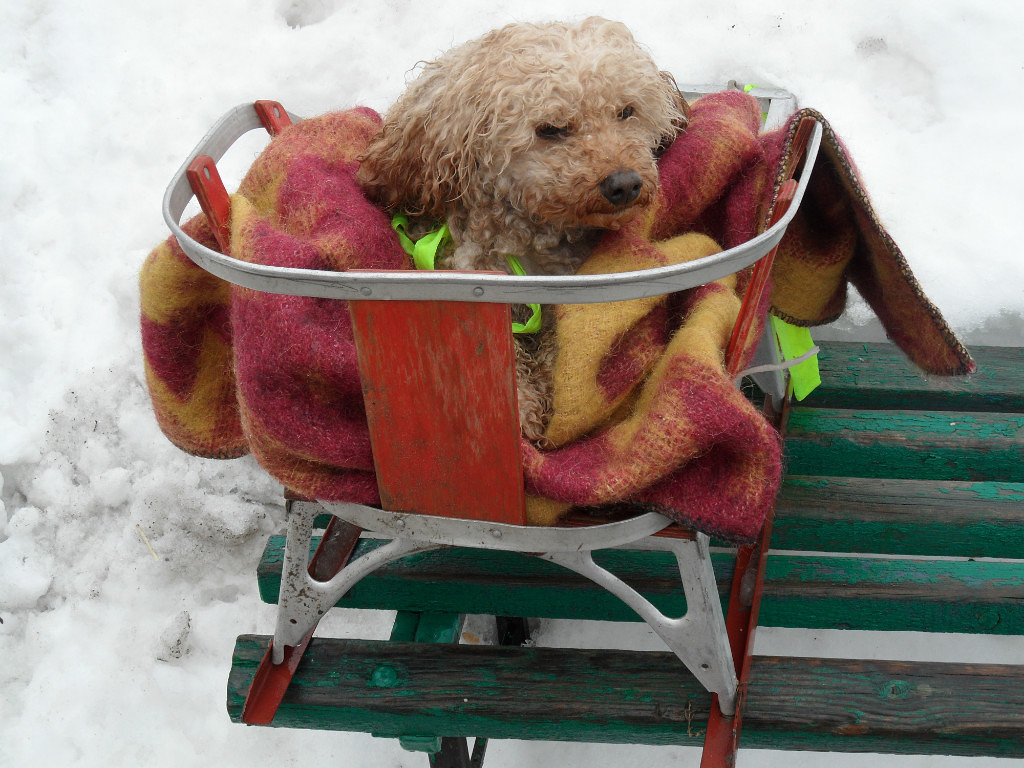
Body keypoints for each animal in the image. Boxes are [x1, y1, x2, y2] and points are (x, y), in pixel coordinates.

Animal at [358, 16, 688, 444]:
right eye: (550, 129)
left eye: (627, 111)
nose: (625, 183)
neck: (529, 243)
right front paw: (520, 406)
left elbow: (559, 350)